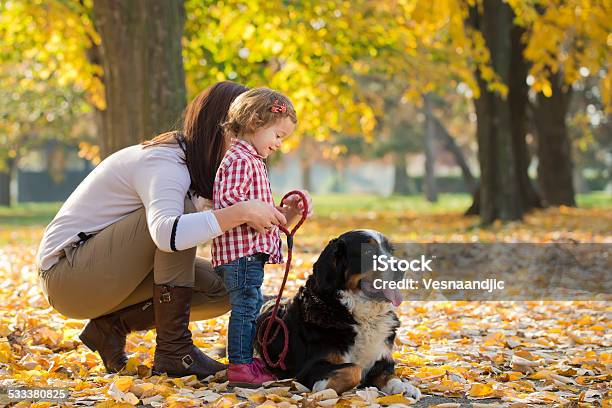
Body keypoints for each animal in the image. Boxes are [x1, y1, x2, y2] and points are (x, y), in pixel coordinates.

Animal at [256, 231, 424, 400]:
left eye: (390, 250)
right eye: (368, 252)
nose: (403, 266)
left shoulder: (382, 360)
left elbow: (391, 376)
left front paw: (405, 387)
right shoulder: (308, 368)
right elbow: (354, 369)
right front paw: (324, 387)